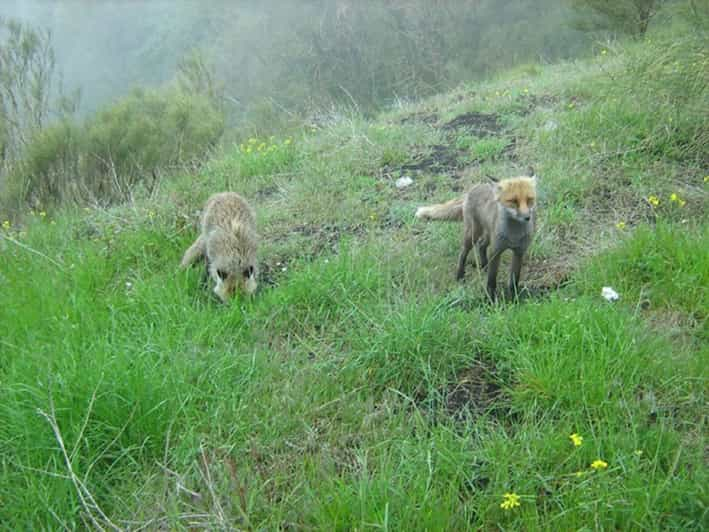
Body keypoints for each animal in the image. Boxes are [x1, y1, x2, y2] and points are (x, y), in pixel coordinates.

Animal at [414, 170, 536, 302]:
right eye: (513, 201)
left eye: (530, 199)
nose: (527, 217)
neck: (513, 235)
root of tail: (474, 187)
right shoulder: (496, 251)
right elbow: (491, 280)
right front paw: (490, 299)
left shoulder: (519, 251)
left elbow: (514, 279)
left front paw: (514, 298)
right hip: (472, 234)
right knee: (463, 252)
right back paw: (460, 275)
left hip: (487, 235)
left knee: (481, 245)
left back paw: (484, 267)